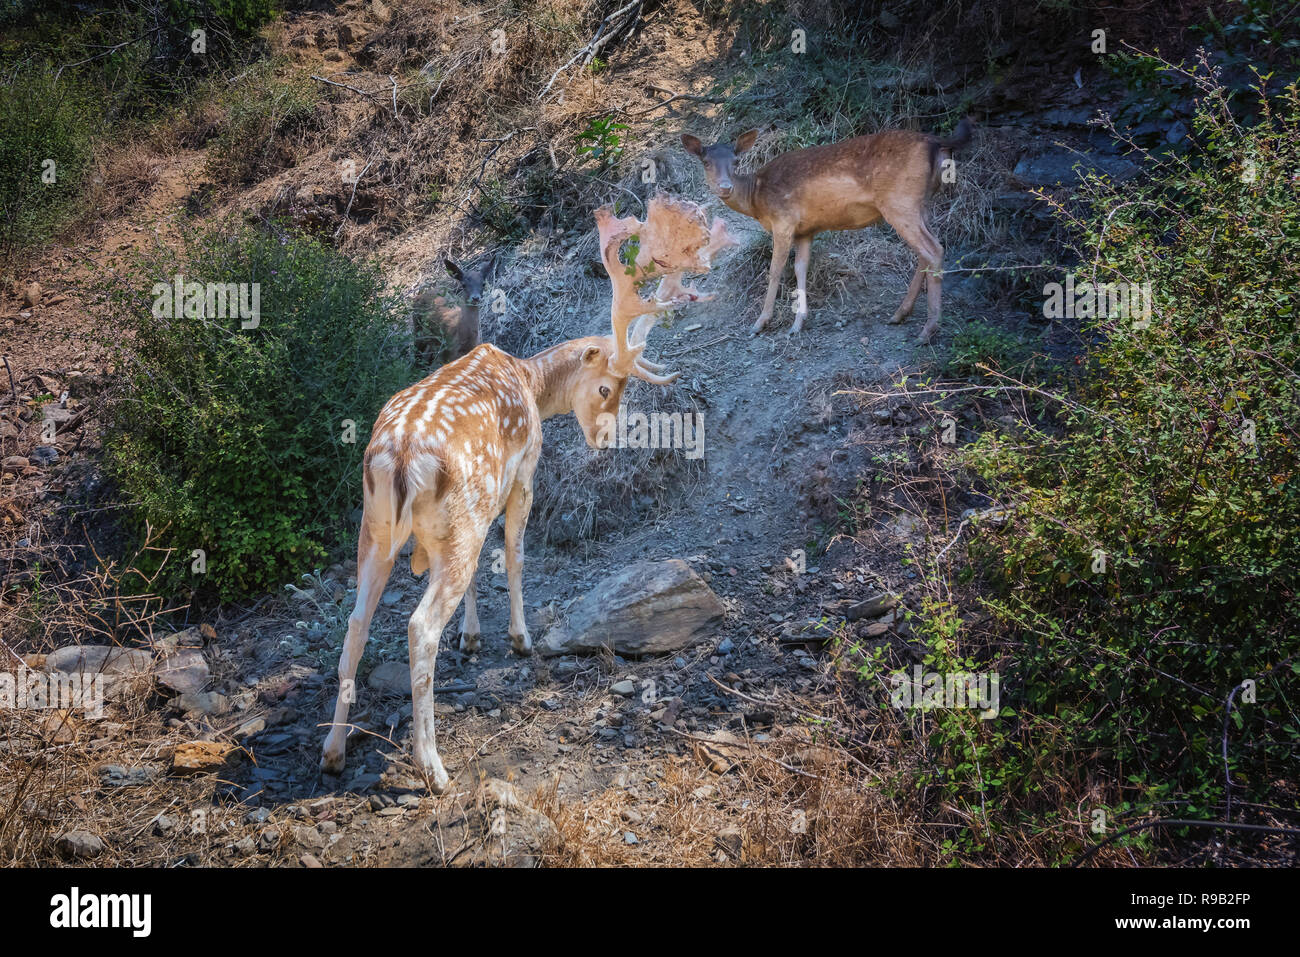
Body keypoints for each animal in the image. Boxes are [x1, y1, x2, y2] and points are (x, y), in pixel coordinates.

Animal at [321, 195, 735, 790]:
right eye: (607, 388)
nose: (605, 439)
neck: (531, 384)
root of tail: (398, 458)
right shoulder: (523, 475)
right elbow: (515, 553)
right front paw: (519, 639)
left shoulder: (460, 524)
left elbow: (477, 577)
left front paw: (472, 638)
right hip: (448, 517)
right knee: (420, 627)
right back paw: (434, 769)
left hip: (377, 528)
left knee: (356, 624)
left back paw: (333, 750)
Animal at [682, 117, 973, 344]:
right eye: (706, 162)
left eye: (736, 161)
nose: (725, 187)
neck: (757, 200)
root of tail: (937, 142)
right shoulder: (806, 230)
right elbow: (800, 268)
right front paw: (798, 324)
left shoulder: (783, 220)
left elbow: (776, 270)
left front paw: (760, 323)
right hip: (922, 203)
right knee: (927, 250)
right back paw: (900, 314)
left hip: (900, 201)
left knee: (934, 249)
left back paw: (927, 330)